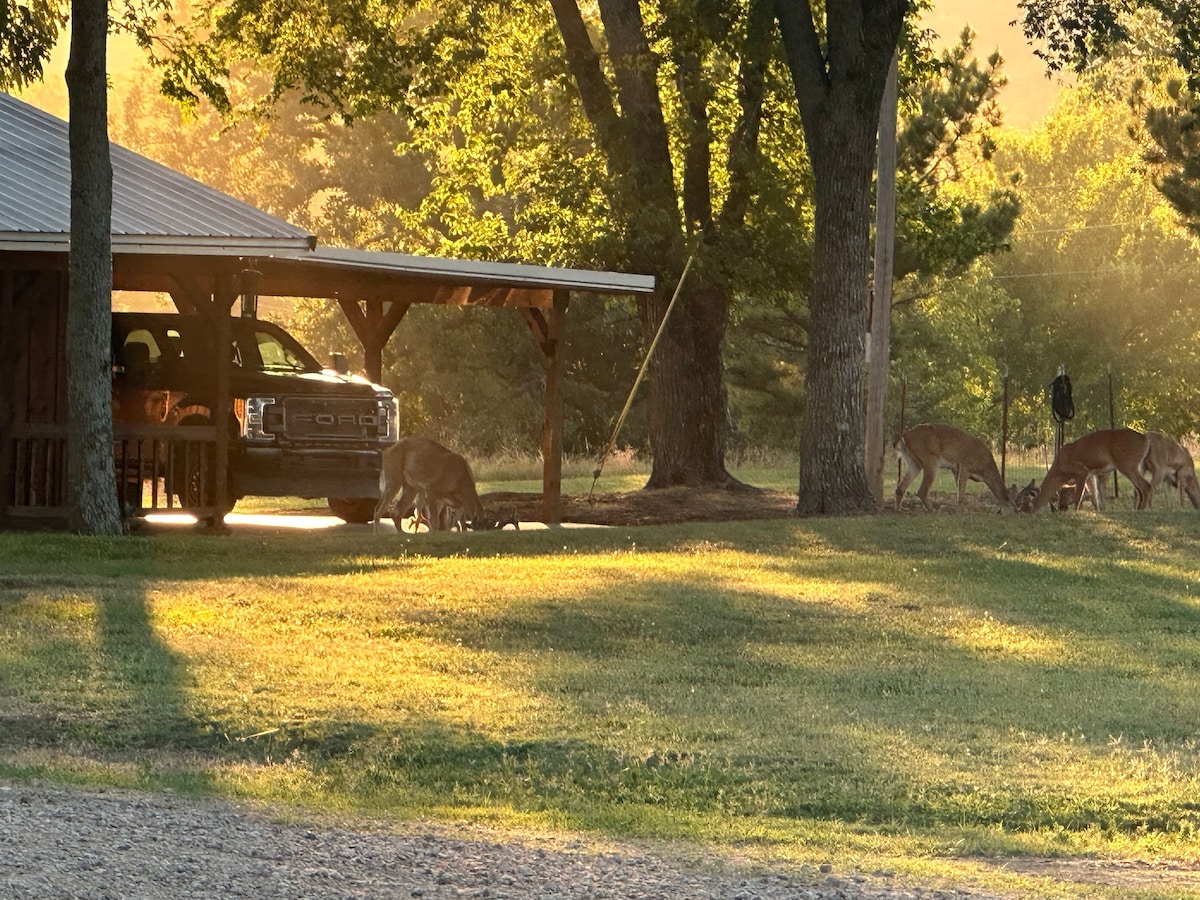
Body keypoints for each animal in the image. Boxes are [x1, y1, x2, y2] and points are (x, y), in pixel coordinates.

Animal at [1022, 427, 1152, 511]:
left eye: (1026, 506)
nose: (1061, 509)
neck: (1060, 471)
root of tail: (1145, 440)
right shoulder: (1091, 474)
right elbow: (1094, 496)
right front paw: (1098, 512)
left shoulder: (1081, 471)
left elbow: (1078, 496)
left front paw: (1076, 512)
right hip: (1136, 465)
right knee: (1140, 489)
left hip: (1127, 463)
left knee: (1145, 486)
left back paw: (1140, 510)